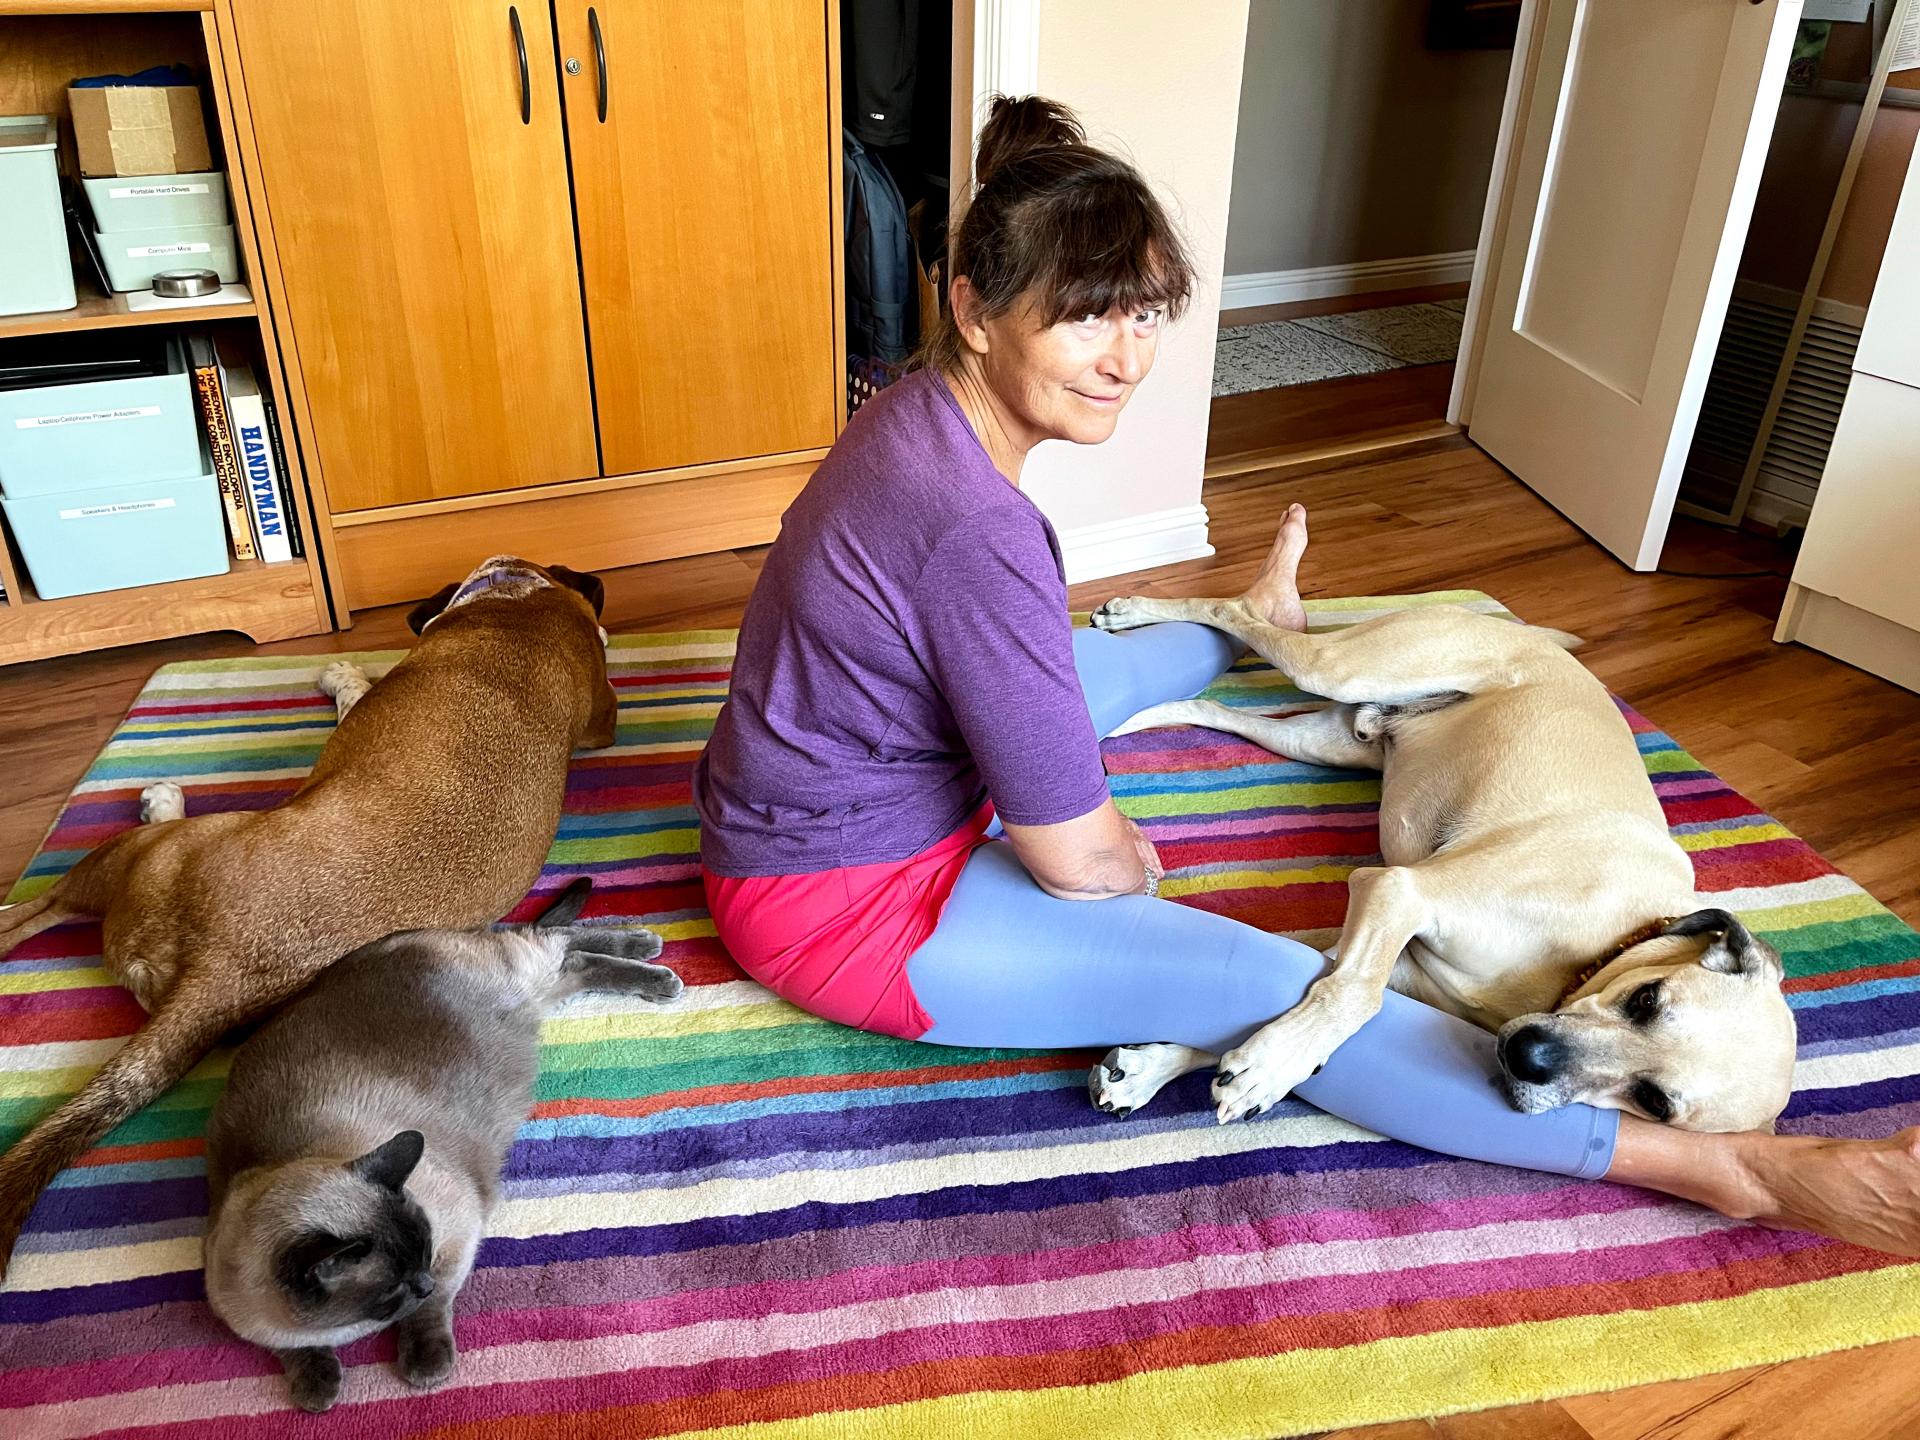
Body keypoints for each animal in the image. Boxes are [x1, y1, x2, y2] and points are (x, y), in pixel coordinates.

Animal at [0, 552, 614, 1274]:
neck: (521, 602)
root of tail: (221, 974)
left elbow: (351, 696)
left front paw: (343, 675)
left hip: (133, 856)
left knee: (32, 912)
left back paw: (155, 808)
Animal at [202, 887, 679, 1413]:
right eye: (395, 1282)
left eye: (425, 1255)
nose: (424, 1280)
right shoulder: (241, 1311)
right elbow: (291, 1349)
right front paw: (316, 1386)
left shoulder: (458, 1233)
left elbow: (430, 1313)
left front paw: (424, 1364)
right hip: (536, 994)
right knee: (567, 957)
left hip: (519, 969)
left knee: (550, 939)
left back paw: (652, 957)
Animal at [1098, 587, 1797, 1136]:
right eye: (1648, 1000)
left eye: (1654, 1102)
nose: (1528, 1057)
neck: (1598, 949)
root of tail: (1518, 628)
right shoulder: (1399, 892)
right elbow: (1353, 995)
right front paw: (1271, 1068)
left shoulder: (1396, 953)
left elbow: (1262, 992)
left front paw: (1152, 1067)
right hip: (1338, 668)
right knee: (1234, 610)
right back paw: (1128, 613)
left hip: (1323, 738)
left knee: (1216, 708)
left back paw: (1137, 716)